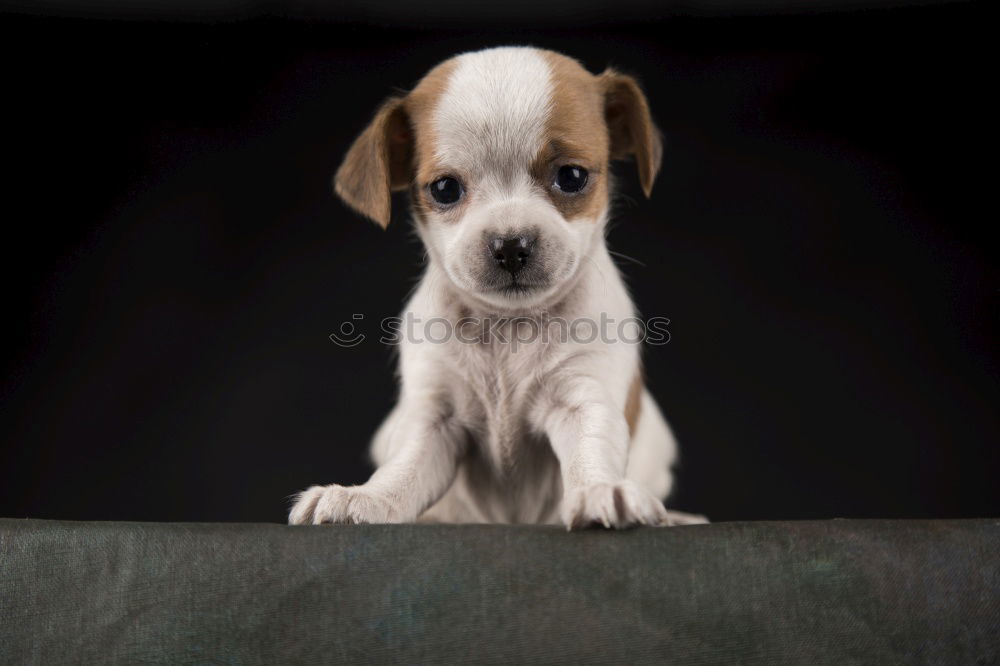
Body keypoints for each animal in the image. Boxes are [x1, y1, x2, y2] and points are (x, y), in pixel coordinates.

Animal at [292, 46, 708, 528]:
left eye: (571, 177)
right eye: (445, 189)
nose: (510, 246)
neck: (509, 327)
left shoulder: (584, 398)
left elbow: (591, 452)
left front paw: (602, 490)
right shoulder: (434, 420)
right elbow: (403, 471)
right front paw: (364, 498)